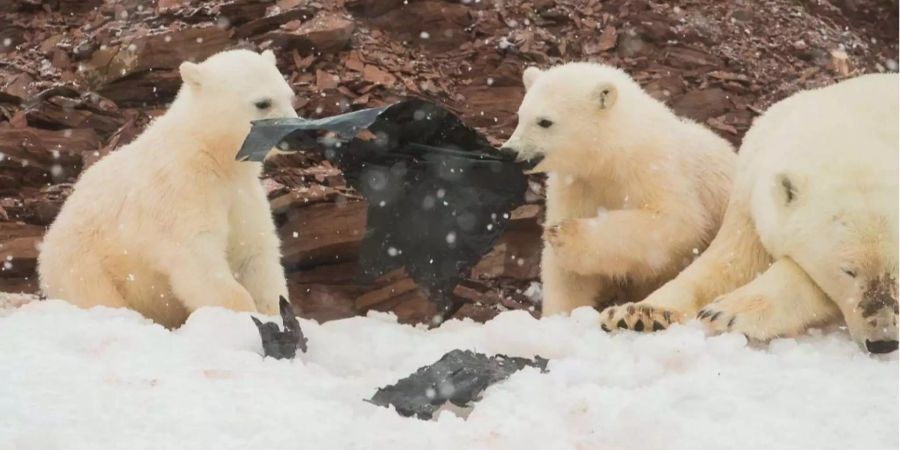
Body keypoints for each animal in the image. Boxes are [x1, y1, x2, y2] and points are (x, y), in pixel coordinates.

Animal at [38, 50, 294, 326]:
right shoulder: (180, 191)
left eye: (289, 96)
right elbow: (196, 256)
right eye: (263, 103)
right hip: (85, 264)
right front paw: (240, 316)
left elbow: (254, 252)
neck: (211, 154)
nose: (294, 135)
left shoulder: (243, 193)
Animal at [600, 74, 896, 354]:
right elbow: (731, 261)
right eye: (849, 271)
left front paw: (727, 313)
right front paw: (638, 313)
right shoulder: (749, 191)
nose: (883, 342)